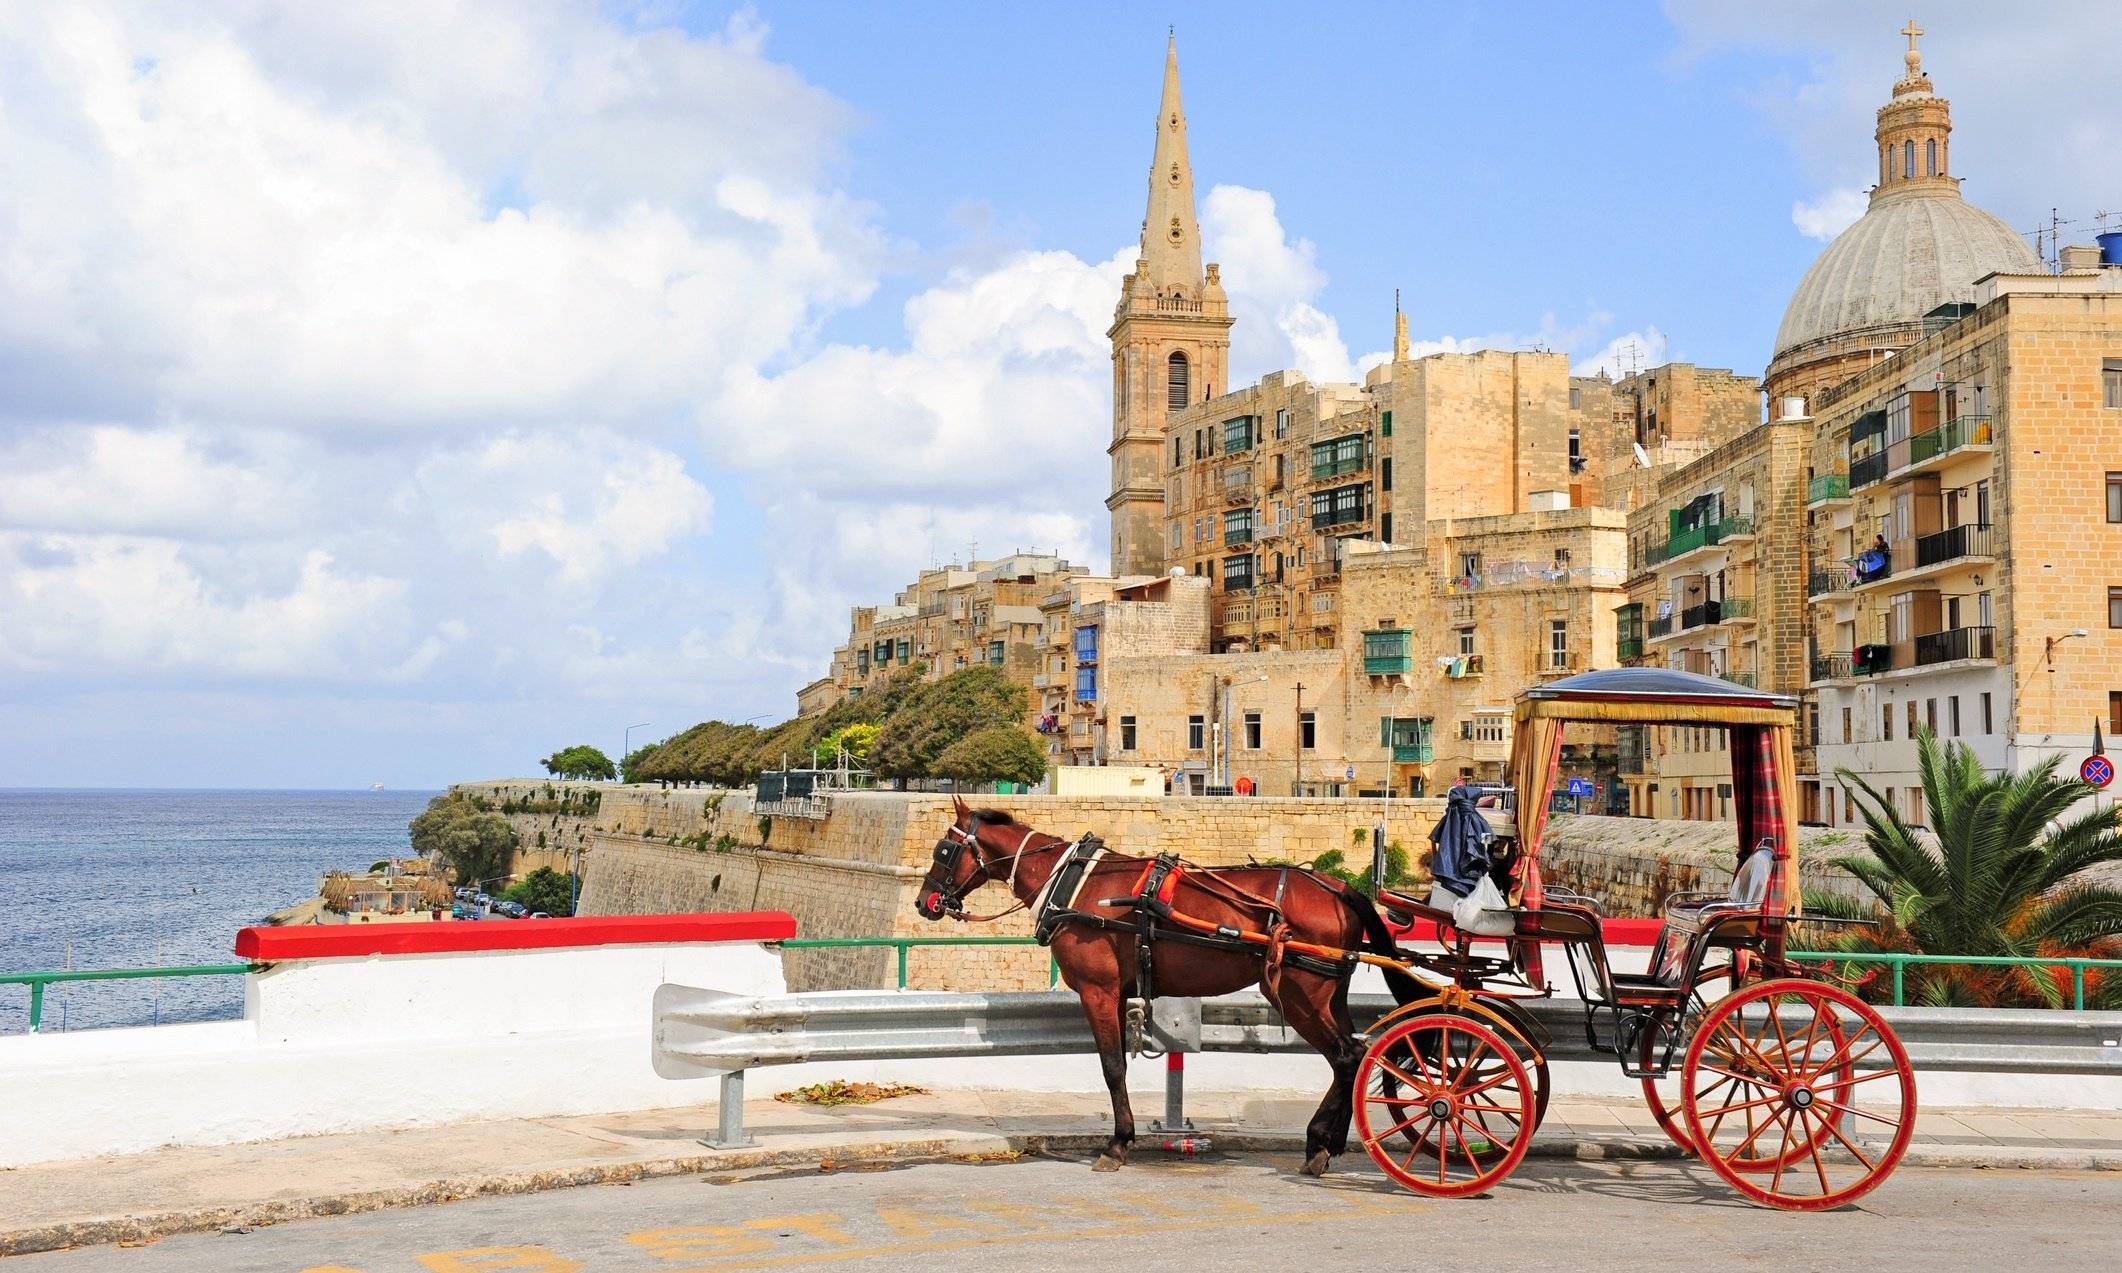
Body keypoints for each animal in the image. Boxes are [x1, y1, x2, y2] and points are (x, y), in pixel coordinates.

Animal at [908, 801, 1417, 1179]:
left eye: (944, 849)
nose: (924, 901)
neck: (1074, 882)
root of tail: (1340, 888)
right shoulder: (1116, 993)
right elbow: (1117, 1064)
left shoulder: (1098, 990)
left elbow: (1112, 1066)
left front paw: (1117, 1144)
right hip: (1325, 994)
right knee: (1354, 1055)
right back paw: (1328, 1141)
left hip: (1298, 995)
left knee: (1345, 1056)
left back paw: (1319, 1145)